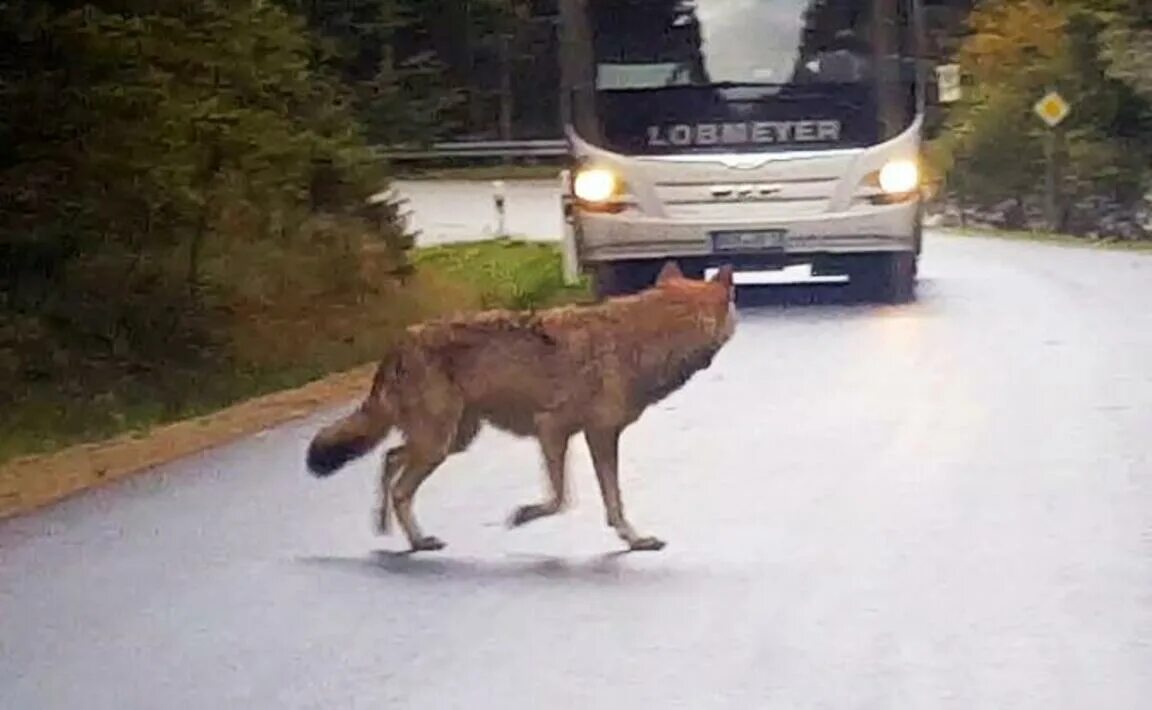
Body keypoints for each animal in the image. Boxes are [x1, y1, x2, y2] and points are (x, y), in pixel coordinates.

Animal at [304, 261, 737, 555]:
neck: (647, 338)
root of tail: (400, 341)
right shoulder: (557, 430)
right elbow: (562, 500)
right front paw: (523, 515)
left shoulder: (593, 437)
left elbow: (610, 501)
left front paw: (634, 540)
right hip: (439, 444)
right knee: (398, 483)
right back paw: (415, 539)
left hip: (453, 440)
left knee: (389, 460)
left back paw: (391, 530)